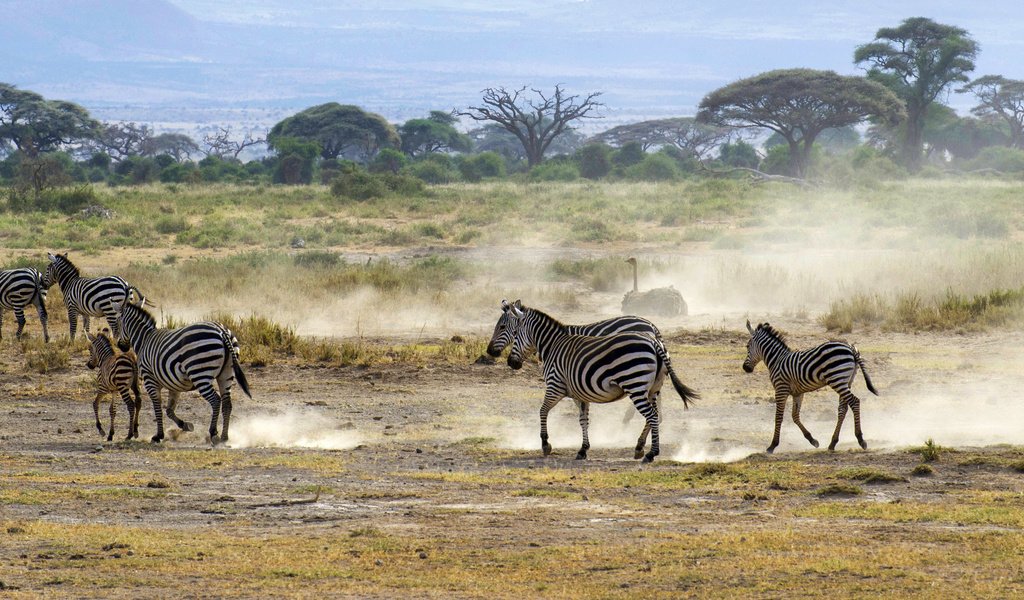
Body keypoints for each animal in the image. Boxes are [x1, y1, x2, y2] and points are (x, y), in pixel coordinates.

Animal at [111, 296, 249, 442]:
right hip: (226, 373)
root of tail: (221, 331)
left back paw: (213, 433)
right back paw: (224, 436)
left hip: (200, 373)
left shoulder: (150, 379)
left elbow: (157, 406)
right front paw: (185, 425)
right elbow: (169, 410)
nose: (121, 346)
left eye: (118, 322)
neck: (144, 339)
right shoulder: (173, 384)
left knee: (216, 401)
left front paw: (158, 435)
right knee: (227, 403)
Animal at [501, 298, 700, 462]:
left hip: (634, 384)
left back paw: (651, 453)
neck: (553, 346)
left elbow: (543, 411)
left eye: (515, 333)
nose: (511, 363)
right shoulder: (579, 393)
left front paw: (545, 444)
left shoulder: (555, 385)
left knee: (651, 415)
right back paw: (640, 448)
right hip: (653, 388)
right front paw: (583, 449)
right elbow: (583, 419)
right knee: (655, 415)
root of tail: (654, 342)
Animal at [745, 319, 880, 450]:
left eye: (747, 346)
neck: (777, 360)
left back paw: (860, 439)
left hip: (837, 379)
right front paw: (812, 440)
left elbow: (778, 416)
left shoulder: (780, 388)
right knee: (842, 409)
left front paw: (773, 445)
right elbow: (795, 416)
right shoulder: (797, 393)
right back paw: (833, 443)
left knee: (854, 402)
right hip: (846, 381)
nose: (745, 368)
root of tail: (851, 348)